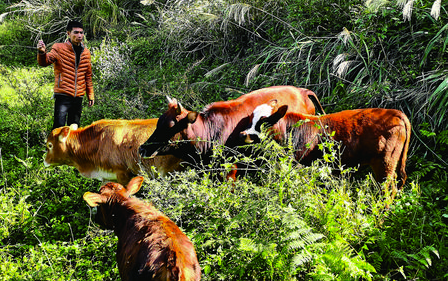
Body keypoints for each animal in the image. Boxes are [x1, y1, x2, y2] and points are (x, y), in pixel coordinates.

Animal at [240, 100, 412, 199]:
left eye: (264, 122)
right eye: (251, 119)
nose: (244, 134)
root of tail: (394, 112)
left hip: (384, 163)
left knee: (387, 191)